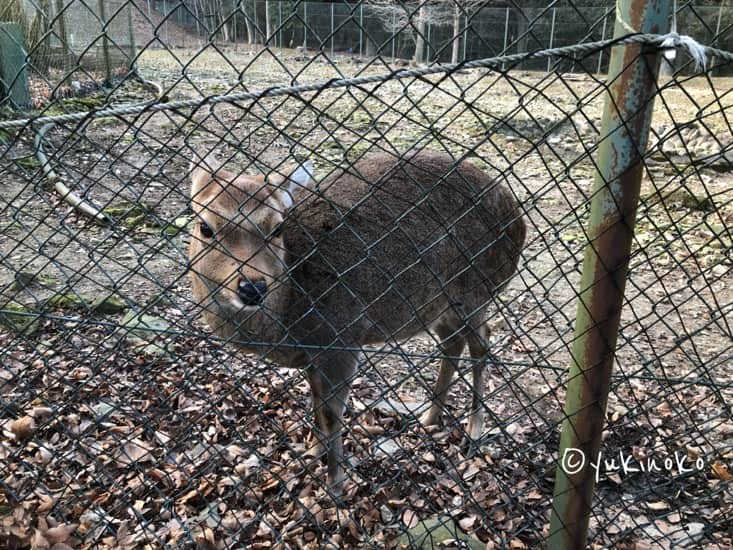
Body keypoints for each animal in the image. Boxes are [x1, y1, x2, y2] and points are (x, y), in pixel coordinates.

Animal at [186, 151, 524, 496]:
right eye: (205, 226)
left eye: (277, 228)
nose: (252, 287)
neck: (289, 321)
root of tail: (516, 216)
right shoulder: (315, 353)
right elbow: (316, 400)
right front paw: (313, 451)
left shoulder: (342, 339)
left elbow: (333, 412)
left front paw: (335, 483)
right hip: (436, 305)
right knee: (452, 340)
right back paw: (430, 418)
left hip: (476, 289)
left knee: (481, 343)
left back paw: (473, 433)